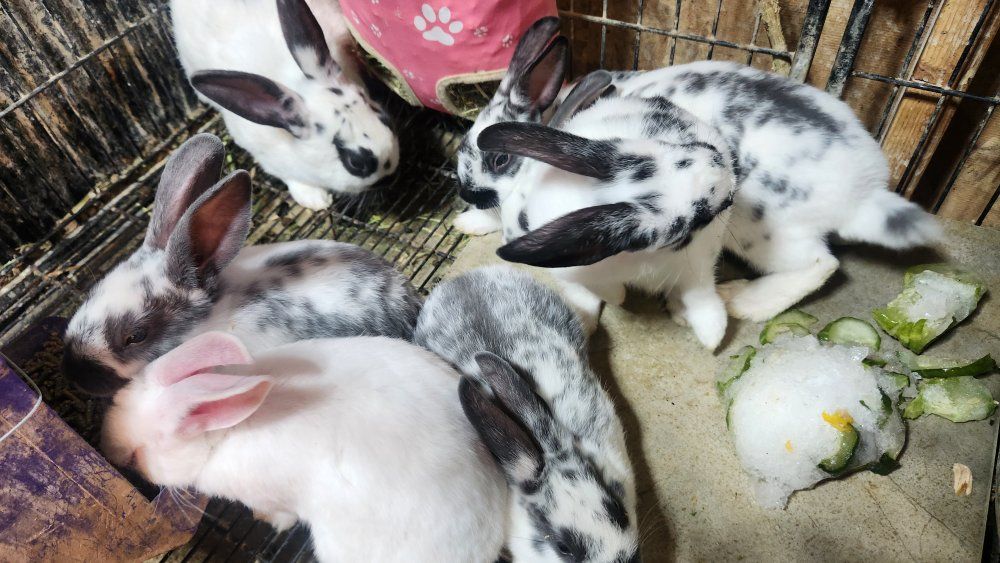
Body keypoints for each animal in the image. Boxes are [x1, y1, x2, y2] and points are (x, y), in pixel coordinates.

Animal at [101, 331, 508, 562]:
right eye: (115, 403)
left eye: (140, 453)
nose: (110, 452)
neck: (224, 433)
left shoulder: (270, 495)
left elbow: (280, 514)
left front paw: (267, 521)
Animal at [472, 75, 737, 349]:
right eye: (699, 218)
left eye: (670, 144)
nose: (720, 163)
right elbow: (609, 292)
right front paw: (617, 297)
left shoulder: (698, 263)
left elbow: (700, 294)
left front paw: (712, 335)